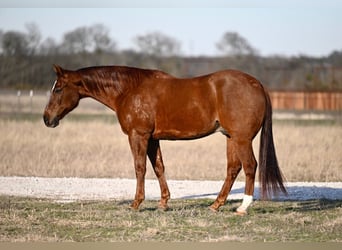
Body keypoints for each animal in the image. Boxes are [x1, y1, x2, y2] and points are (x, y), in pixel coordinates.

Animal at [44, 64, 288, 213]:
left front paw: (136, 203)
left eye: (58, 89)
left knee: (250, 166)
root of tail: (257, 84)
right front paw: (163, 202)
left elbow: (140, 168)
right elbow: (158, 167)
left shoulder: (138, 136)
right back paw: (216, 205)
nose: (47, 118)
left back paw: (242, 207)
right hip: (231, 138)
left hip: (242, 139)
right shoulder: (153, 139)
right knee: (233, 168)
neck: (129, 90)